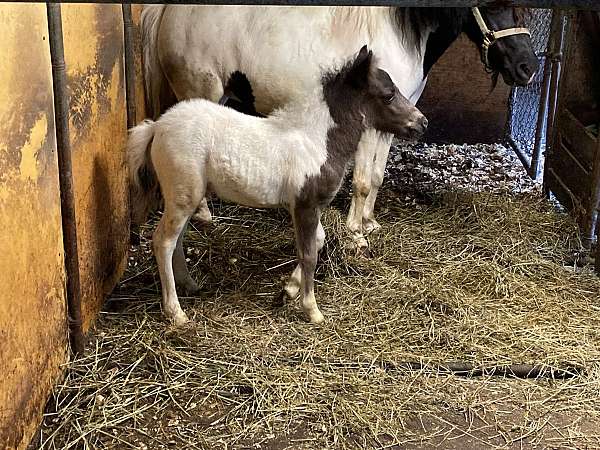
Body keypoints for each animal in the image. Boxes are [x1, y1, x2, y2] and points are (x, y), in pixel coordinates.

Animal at [126, 46, 426, 326]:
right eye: (388, 94)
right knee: (163, 241)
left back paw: (190, 285)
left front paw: (287, 292)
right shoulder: (306, 204)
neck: (317, 141)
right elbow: (308, 254)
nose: (422, 123)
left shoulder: (305, 205)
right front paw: (312, 310)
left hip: (186, 196)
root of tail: (157, 127)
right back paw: (176, 312)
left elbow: (319, 240)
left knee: (176, 240)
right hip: (183, 194)